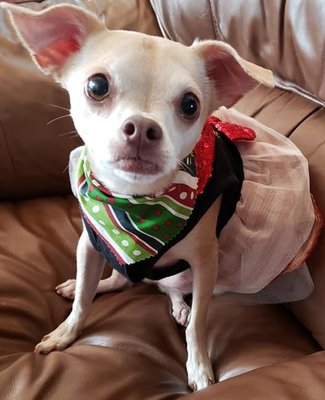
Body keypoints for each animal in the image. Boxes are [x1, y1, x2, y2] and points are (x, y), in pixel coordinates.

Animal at [2, 2, 318, 390]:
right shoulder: (90, 244)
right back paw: (86, 285)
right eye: (96, 85)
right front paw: (66, 331)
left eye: (190, 105)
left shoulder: (205, 265)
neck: (137, 202)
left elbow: (198, 324)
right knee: (120, 280)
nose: (142, 127)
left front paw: (198, 367)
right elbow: (82, 303)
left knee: (168, 289)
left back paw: (179, 306)